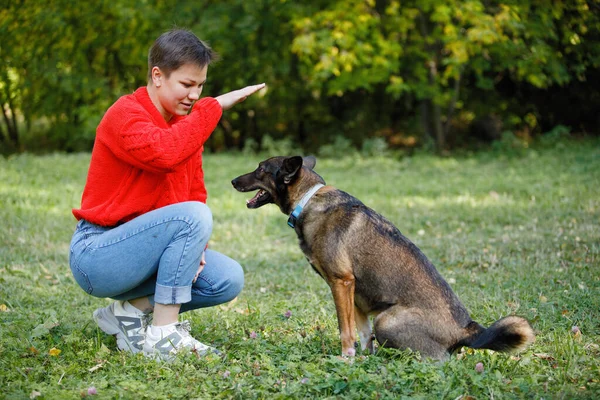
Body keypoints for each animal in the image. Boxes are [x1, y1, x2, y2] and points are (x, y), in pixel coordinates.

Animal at [231, 156, 536, 360]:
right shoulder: (355, 293)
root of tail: (467, 331)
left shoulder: (341, 283)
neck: (308, 200)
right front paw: (363, 359)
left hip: (387, 321)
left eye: (261, 169)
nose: (232, 181)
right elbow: (363, 334)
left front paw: (345, 358)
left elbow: (346, 331)